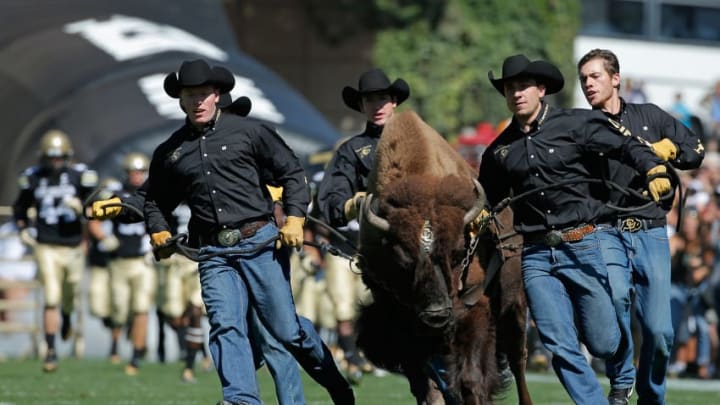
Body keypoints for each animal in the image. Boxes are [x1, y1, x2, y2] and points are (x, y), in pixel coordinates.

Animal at [356, 109, 532, 402]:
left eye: (458, 254)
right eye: (403, 260)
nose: (436, 314)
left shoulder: (476, 308)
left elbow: (471, 379)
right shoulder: (400, 323)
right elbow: (425, 385)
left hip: (514, 307)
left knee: (518, 359)